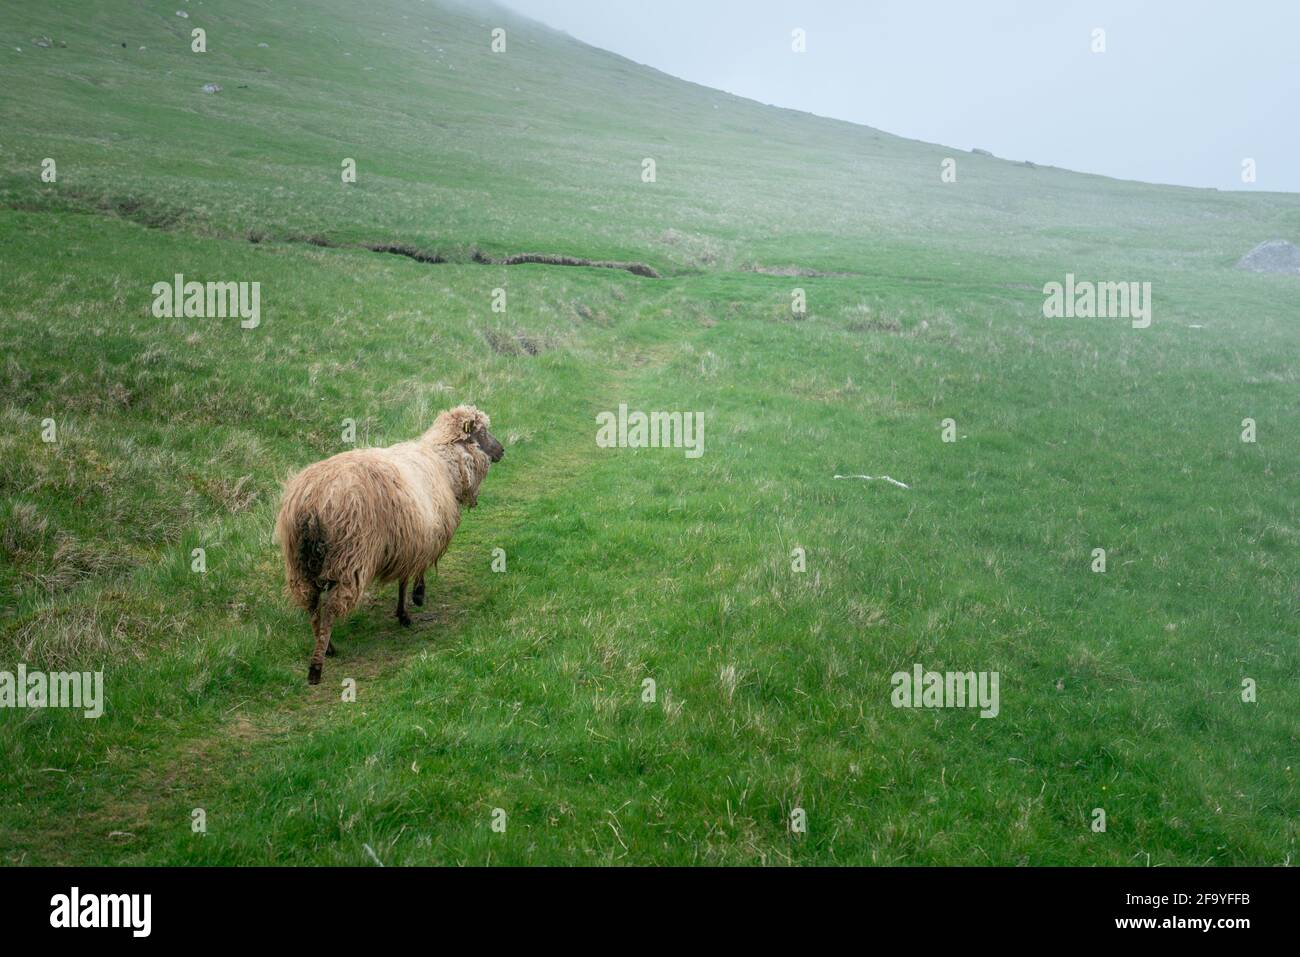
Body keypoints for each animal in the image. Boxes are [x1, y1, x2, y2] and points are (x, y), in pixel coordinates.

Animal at [273, 403, 501, 681]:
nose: (502, 451)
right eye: (483, 432)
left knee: (313, 607)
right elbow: (410, 577)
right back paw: (317, 665)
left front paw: (406, 608)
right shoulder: (419, 538)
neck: (443, 462)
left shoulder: (407, 542)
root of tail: (312, 502)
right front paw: (414, 602)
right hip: (350, 558)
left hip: (300, 563)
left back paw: (327, 646)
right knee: (329, 610)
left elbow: (404, 579)